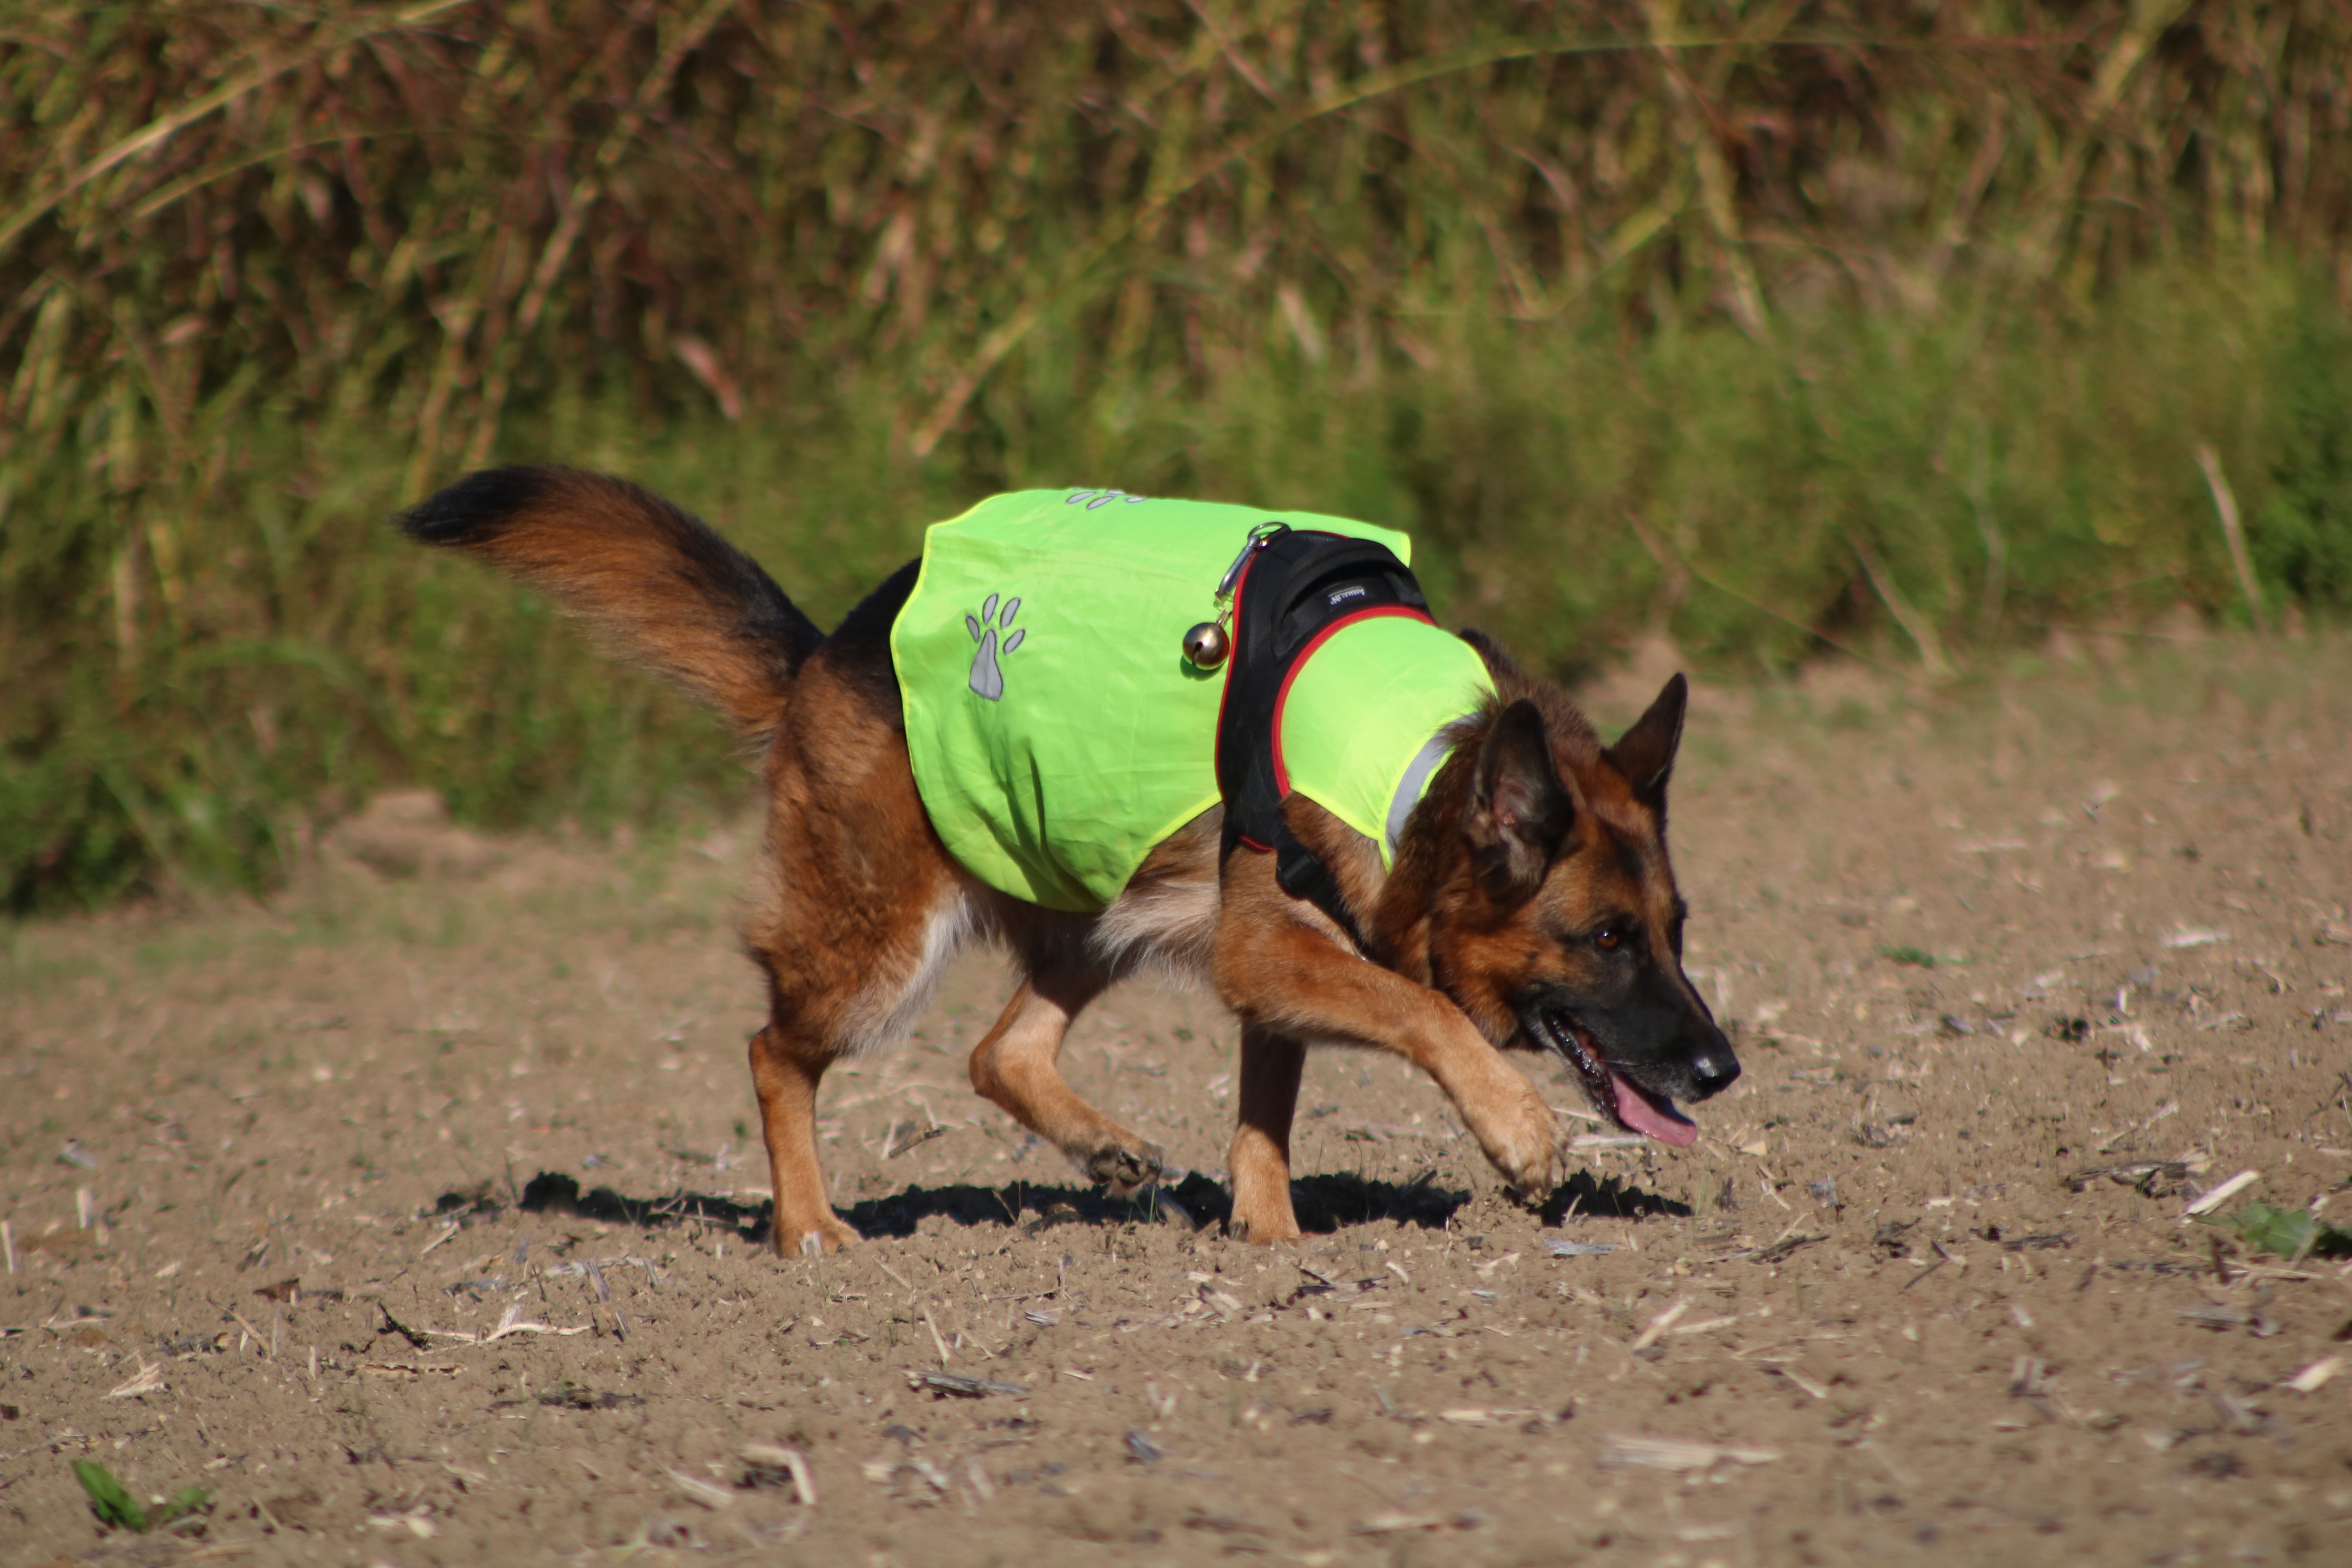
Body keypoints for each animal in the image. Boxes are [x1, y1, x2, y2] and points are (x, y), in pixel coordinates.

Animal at [400, 472, 1750, 1260]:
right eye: (1607, 938)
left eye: (1679, 928)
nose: (1720, 1068)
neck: (1417, 773)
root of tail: (822, 656)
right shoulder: (1270, 947)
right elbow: (1425, 1012)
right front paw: (1516, 1131)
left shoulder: (1264, 963)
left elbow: (1267, 1115)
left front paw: (1270, 1244)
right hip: (878, 949)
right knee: (773, 1052)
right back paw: (811, 1227)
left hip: (1099, 903)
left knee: (1000, 1051)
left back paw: (1104, 1153)